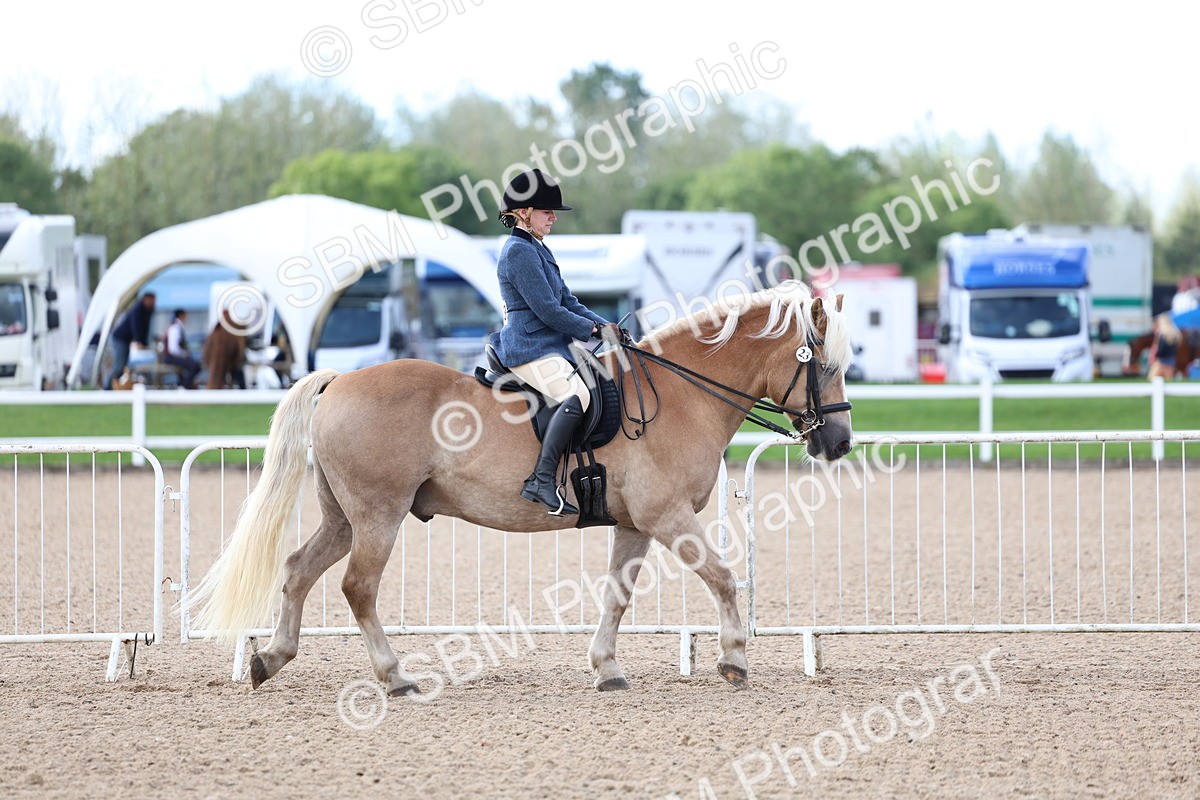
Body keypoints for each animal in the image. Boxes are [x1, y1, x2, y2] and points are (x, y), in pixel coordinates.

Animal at [186, 282, 855, 694]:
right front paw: (734, 659)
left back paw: (269, 660)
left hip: (343, 517)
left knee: (298, 570)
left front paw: (607, 669)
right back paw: (395, 677)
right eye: (825, 366)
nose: (840, 443)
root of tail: (340, 381)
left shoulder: (636, 524)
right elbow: (722, 576)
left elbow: (617, 596)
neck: (681, 395)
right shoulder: (667, 518)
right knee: (359, 587)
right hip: (379, 514)